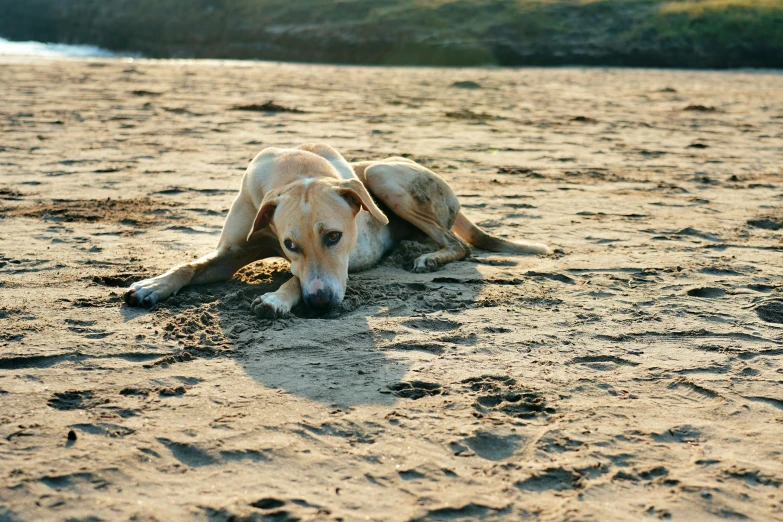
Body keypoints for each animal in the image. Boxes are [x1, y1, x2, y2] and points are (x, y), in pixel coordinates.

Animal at [122, 142, 552, 314]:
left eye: (334, 237)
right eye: (289, 244)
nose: (320, 304)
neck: (296, 170)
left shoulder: (337, 267)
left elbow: (297, 279)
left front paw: (277, 298)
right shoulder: (233, 251)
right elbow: (190, 265)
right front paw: (151, 285)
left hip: (382, 173)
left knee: (459, 244)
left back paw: (429, 258)